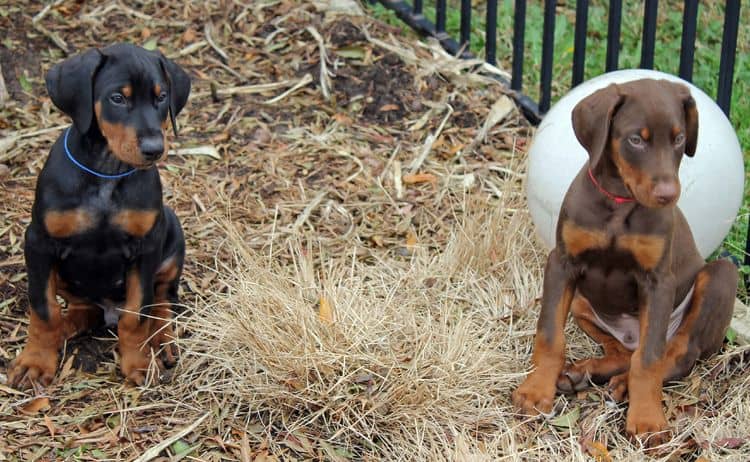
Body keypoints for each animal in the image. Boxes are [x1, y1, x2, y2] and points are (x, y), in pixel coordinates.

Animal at [9, 43, 191, 388]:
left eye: (161, 96)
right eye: (117, 98)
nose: (154, 149)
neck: (107, 171)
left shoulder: (146, 246)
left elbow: (137, 313)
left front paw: (138, 363)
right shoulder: (38, 242)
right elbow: (44, 309)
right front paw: (35, 362)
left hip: (171, 230)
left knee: (161, 299)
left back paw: (161, 341)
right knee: (80, 310)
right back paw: (63, 331)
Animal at [516, 78, 736, 444]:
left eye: (678, 138)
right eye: (636, 139)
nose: (668, 195)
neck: (619, 202)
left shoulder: (658, 282)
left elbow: (649, 359)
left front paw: (646, 420)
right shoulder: (562, 264)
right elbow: (549, 334)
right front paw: (536, 391)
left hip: (721, 276)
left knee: (674, 353)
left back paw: (623, 386)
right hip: (581, 301)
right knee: (623, 352)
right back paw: (583, 373)